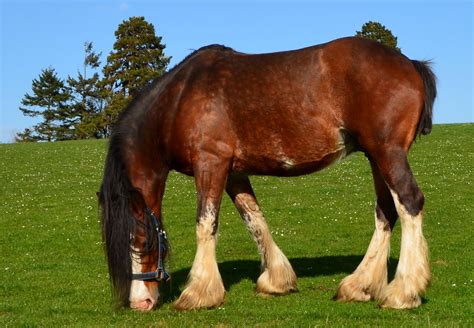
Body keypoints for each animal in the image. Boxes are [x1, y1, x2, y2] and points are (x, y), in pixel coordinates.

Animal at [99, 37, 436, 312]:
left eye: (139, 239)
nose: (140, 302)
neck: (180, 99)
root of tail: (409, 64)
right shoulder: (233, 173)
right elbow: (254, 219)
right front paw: (277, 280)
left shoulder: (211, 163)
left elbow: (205, 224)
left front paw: (198, 292)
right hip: (375, 157)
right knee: (386, 211)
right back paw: (360, 285)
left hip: (387, 152)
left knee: (409, 202)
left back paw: (403, 292)